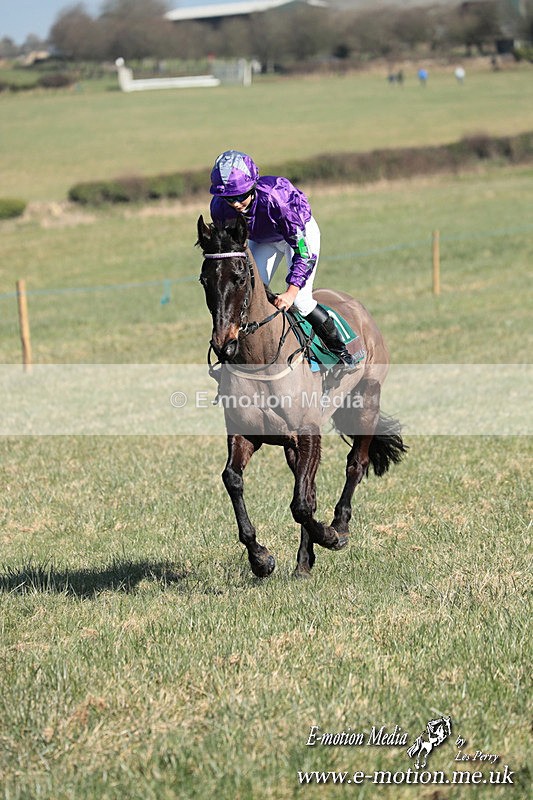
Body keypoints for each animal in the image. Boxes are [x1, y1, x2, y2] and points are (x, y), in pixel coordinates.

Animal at [197, 214, 406, 579]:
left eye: (239, 277)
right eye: (204, 280)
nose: (224, 344)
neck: (261, 361)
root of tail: (357, 307)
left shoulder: (308, 433)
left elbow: (302, 504)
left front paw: (330, 536)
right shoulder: (246, 434)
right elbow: (234, 480)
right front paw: (261, 558)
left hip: (367, 400)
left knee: (356, 464)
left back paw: (339, 526)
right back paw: (304, 562)